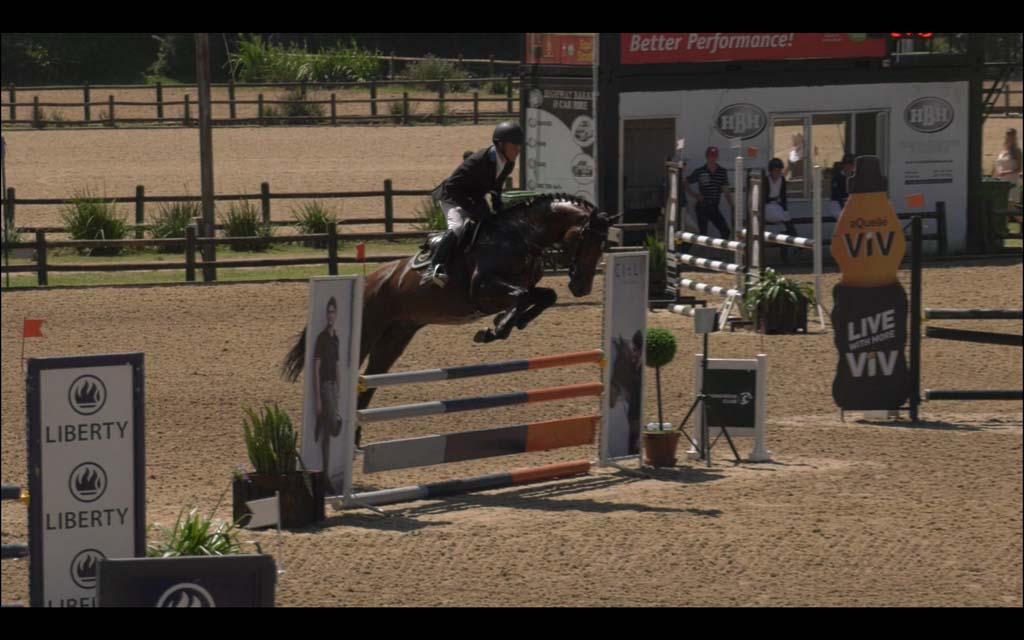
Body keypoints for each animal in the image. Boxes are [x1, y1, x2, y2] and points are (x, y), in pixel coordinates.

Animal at [282, 193, 612, 419]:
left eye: (603, 244)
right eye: (585, 239)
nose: (581, 288)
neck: (520, 236)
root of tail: (369, 280)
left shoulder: (518, 288)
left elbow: (542, 297)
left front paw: (501, 326)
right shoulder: (484, 291)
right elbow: (522, 297)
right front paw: (497, 329)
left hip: (396, 336)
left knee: (372, 378)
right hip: (367, 330)